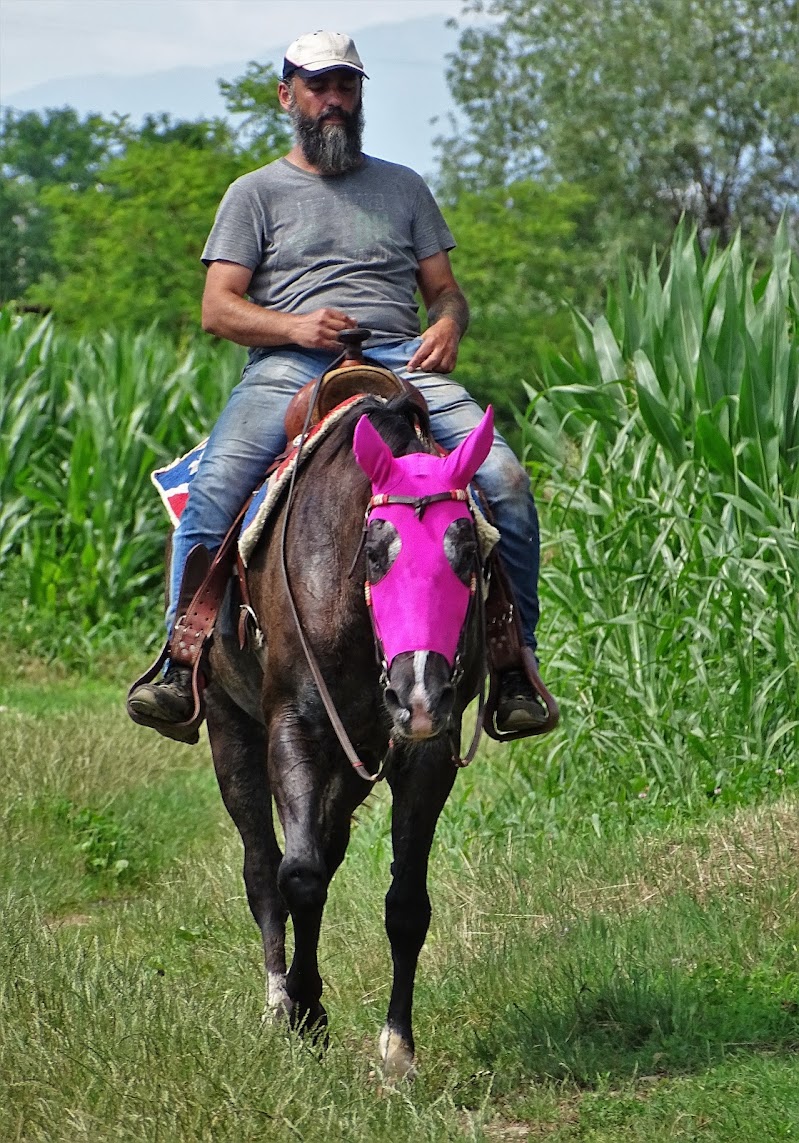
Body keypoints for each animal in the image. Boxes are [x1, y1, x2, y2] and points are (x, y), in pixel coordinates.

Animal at [203, 393, 493, 1078]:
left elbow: (406, 903)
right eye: (376, 552)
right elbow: (298, 875)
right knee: (264, 868)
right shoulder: (294, 727)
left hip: (354, 759)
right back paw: (277, 1000)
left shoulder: (424, 752)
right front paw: (305, 1015)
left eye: (469, 553)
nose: (419, 695)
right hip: (231, 731)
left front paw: (397, 1049)